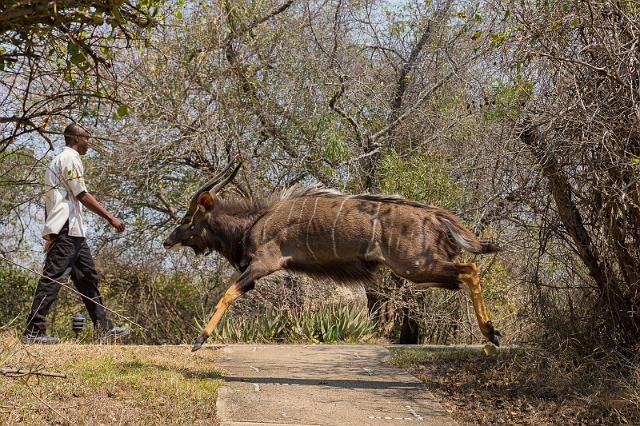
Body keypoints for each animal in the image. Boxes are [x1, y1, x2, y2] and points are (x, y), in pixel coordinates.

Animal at [162, 160, 502, 350]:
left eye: (188, 219)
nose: (167, 242)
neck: (253, 222)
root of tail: (436, 216)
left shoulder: (262, 264)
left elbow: (228, 294)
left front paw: (198, 341)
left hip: (416, 266)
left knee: (469, 270)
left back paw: (492, 333)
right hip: (420, 272)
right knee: (462, 275)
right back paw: (491, 333)